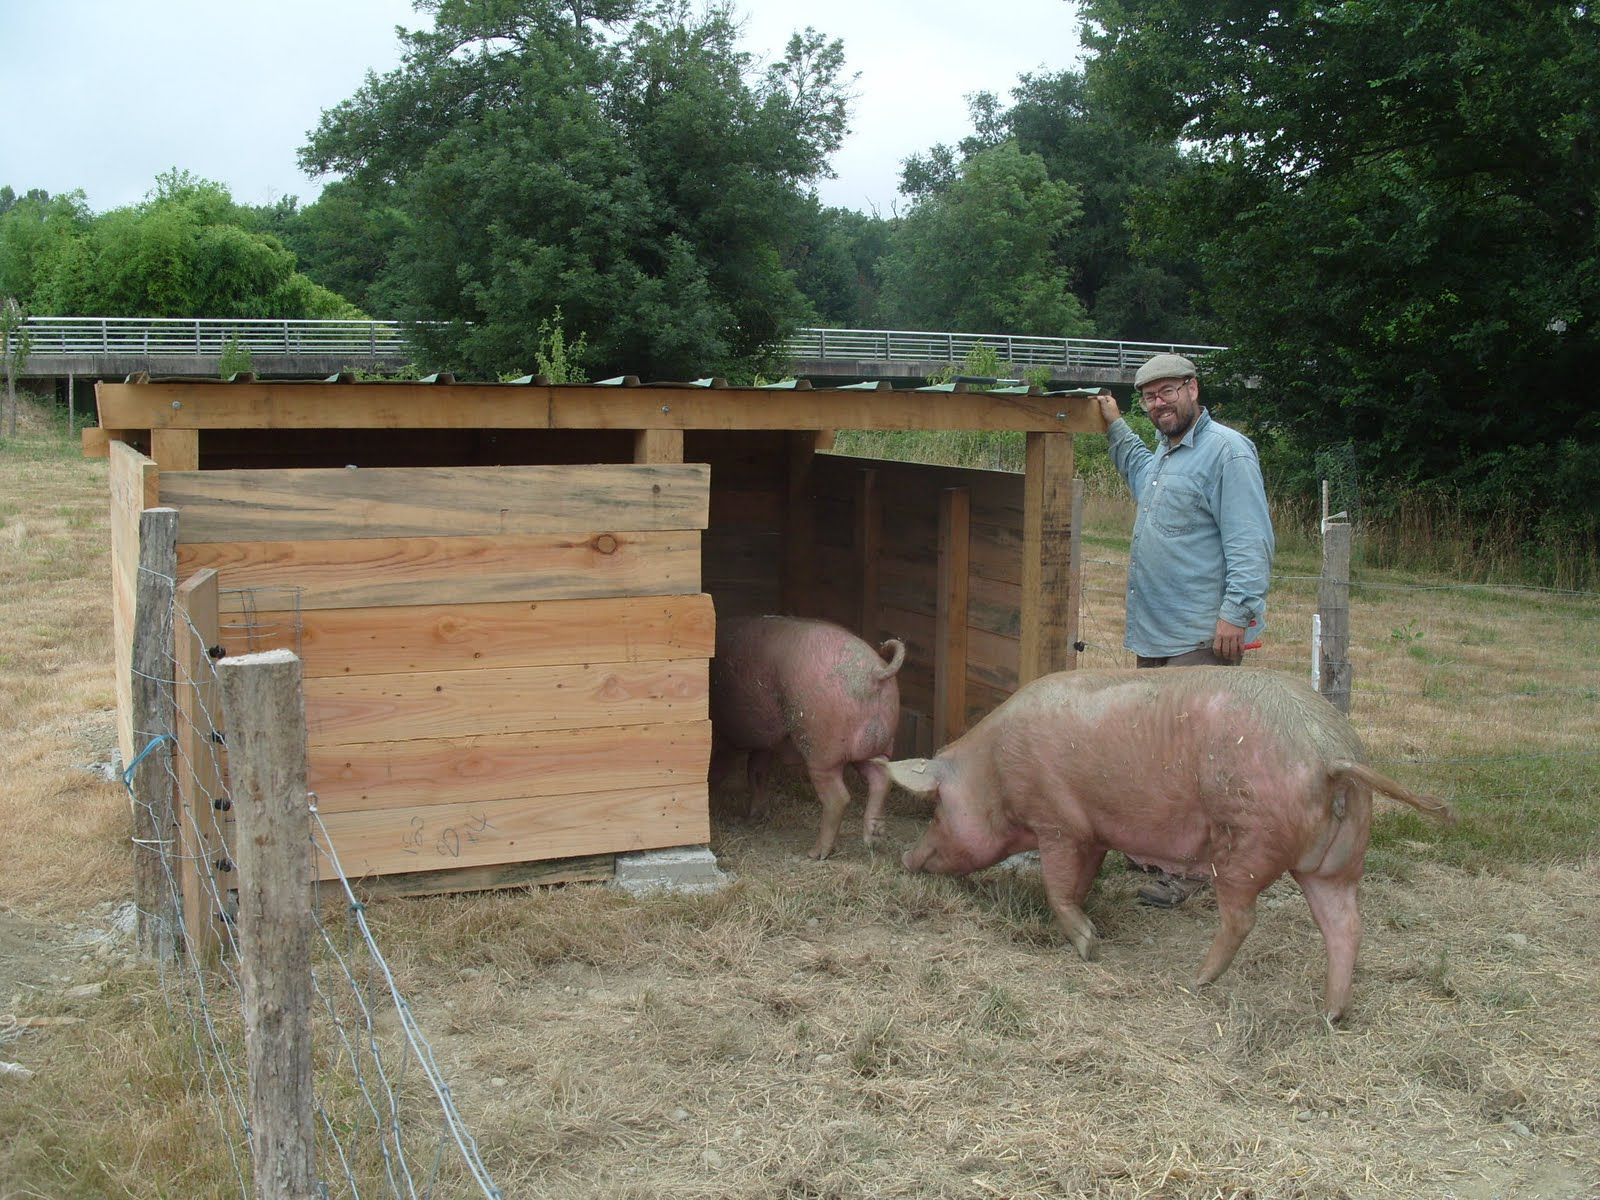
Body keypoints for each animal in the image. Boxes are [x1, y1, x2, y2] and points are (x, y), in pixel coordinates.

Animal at [710, 620, 908, 864]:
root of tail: (875, 672)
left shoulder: (726, 739)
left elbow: (721, 769)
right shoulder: (764, 742)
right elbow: (756, 772)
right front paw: (754, 817)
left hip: (821, 750)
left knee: (838, 798)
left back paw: (816, 854)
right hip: (875, 747)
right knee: (881, 778)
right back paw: (873, 840)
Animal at [889, 672, 1452, 1017]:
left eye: (936, 808)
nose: (905, 858)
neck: (994, 774)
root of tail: (1329, 752)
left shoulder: (1057, 824)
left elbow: (1057, 887)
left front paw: (1089, 948)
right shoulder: (1093, 833)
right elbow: (1081, 880)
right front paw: (1094, 930)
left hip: (1245, 842)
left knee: (1243, 917)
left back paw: (1196, 981)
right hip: (1338, 859)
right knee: (1346, 925)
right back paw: (1332, 1013)